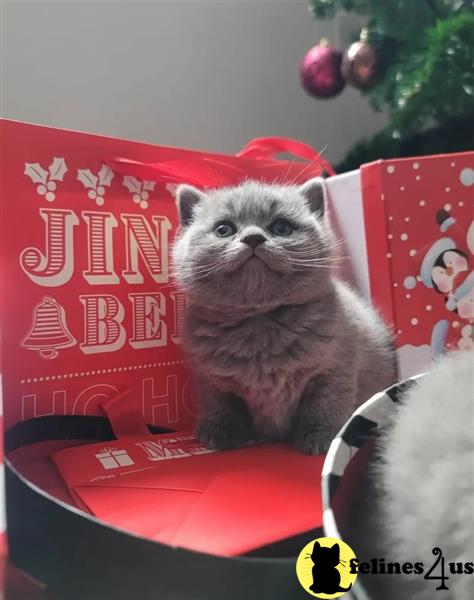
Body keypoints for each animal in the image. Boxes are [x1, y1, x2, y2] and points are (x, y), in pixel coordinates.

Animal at [172, 178, 394, 454]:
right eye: (224, 229)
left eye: (281, 227)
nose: (253, 238)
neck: (258, 322)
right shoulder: (208, 377)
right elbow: (219, 403)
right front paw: (220, 432)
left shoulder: (336, 367)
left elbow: (326, 402)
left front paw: (323, 436)